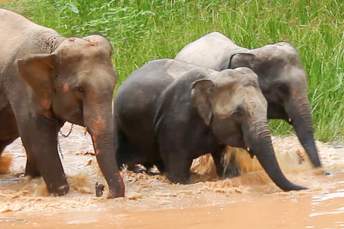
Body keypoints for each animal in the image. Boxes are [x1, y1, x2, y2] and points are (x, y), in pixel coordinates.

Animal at [0, 8, 124, 198]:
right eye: (80, 89)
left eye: (114, 83)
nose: (102, 190)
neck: (53, 49)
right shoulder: (21, 86)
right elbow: (36, 135)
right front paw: (60, 191)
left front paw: (32, 179)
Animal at [114, 58, 306, 191]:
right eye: (238, 113)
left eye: (266, 107)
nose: (305, 187)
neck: (214, 77)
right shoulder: (175, 122)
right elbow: (178, 173)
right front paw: (184, 181)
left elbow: (224, 163)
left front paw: (229, 175)